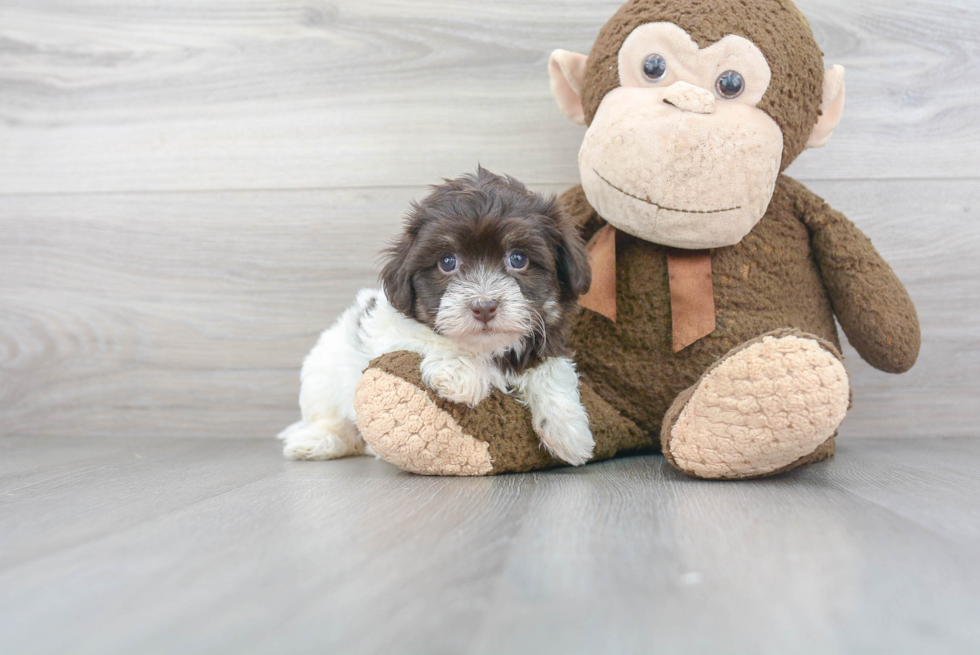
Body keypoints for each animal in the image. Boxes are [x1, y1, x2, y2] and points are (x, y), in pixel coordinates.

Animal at [280, 169, 592, 466]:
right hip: (321, 373)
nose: (484, 306)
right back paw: (316, 442)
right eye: (447, 262)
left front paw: (568, 431)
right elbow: (429, 338)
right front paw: (460, 373)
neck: (487, 348)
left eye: (518, 259)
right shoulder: (389, 329)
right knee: (333, 421)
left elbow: (551, 372)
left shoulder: (548, 343)